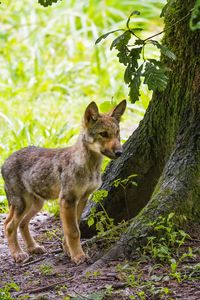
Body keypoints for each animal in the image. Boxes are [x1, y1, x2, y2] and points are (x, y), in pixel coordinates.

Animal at [1, 99, 126, 264]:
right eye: (103, 134)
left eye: (117, 133)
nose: (120, 153)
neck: (90, 167)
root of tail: (6, 160)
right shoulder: (67, 200)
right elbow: (73, 231)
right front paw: (78, 256)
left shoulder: (82, 199)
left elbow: (73, 229)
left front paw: (68, 251)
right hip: (23, 204)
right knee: (8, 225)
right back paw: (18, 254)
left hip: (36, 203)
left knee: (21, 223)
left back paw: (33, 247)